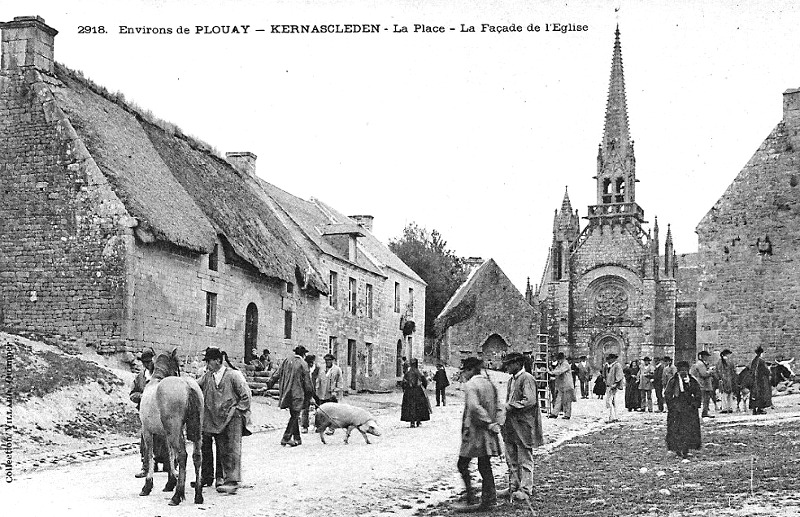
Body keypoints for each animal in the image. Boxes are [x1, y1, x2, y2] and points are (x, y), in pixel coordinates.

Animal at [140, 346, 205, 504]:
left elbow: (150, 454)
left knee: (183, 455)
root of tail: (187, 385)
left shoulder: (147, 432)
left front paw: (147, 486)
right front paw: (170, 482)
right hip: (194, 431)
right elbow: (170, 455)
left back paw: (177, 495)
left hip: (172, 432)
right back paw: (198, 495)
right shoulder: (167, 434)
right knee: (197, 456)